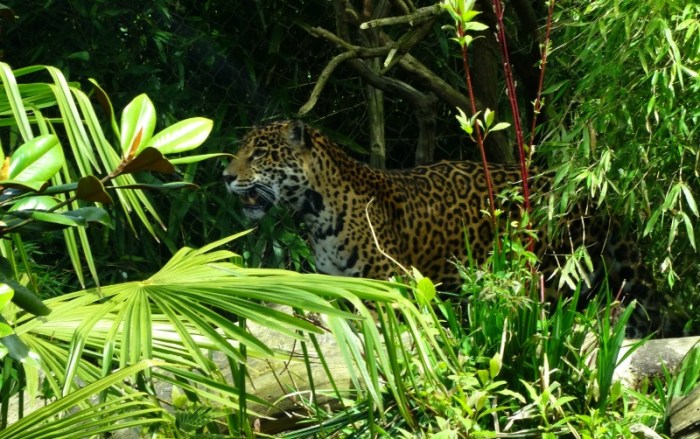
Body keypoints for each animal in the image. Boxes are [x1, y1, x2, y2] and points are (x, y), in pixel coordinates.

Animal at [223, 119, 667, 336]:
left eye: (257, 154)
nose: (224, 175)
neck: (314, 211)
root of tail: (582, 189)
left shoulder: (389, 288)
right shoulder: (342, 288)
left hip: (550, 271)